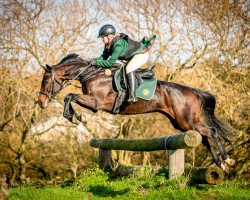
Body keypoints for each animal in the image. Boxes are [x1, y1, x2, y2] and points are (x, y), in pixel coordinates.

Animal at [37, 54, 234, 173]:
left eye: (45, 81)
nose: (41, 102)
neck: (92, 74)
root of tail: (192, 91)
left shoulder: (96, 103)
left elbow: (69, 96)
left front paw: (75, 117)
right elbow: (70, 97)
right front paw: (76, 117)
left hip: (187, 121)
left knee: (212, 133)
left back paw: (227, 160)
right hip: (182, 123)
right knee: (205, 138)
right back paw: (221, 165)